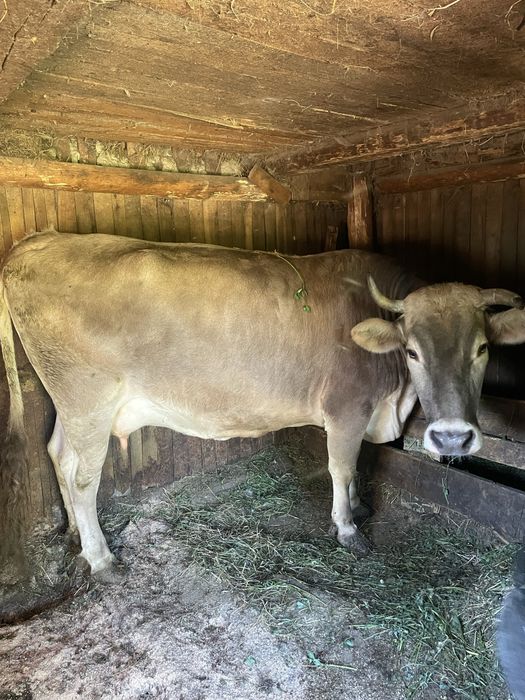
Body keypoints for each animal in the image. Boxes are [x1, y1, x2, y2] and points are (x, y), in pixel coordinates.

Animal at [1, 230, 524, 579]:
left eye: (482, 348)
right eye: (412, 350)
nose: (452, 437)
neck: (391, 401)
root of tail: (36, 242)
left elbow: (357, 464)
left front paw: (359, 508)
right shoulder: (347, 409)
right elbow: (342, 466)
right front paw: (347, 527)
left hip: (68, 403)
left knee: (57, 454)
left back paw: (73, 535)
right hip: (88, 401)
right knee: (83, 477)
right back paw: (101, 557)